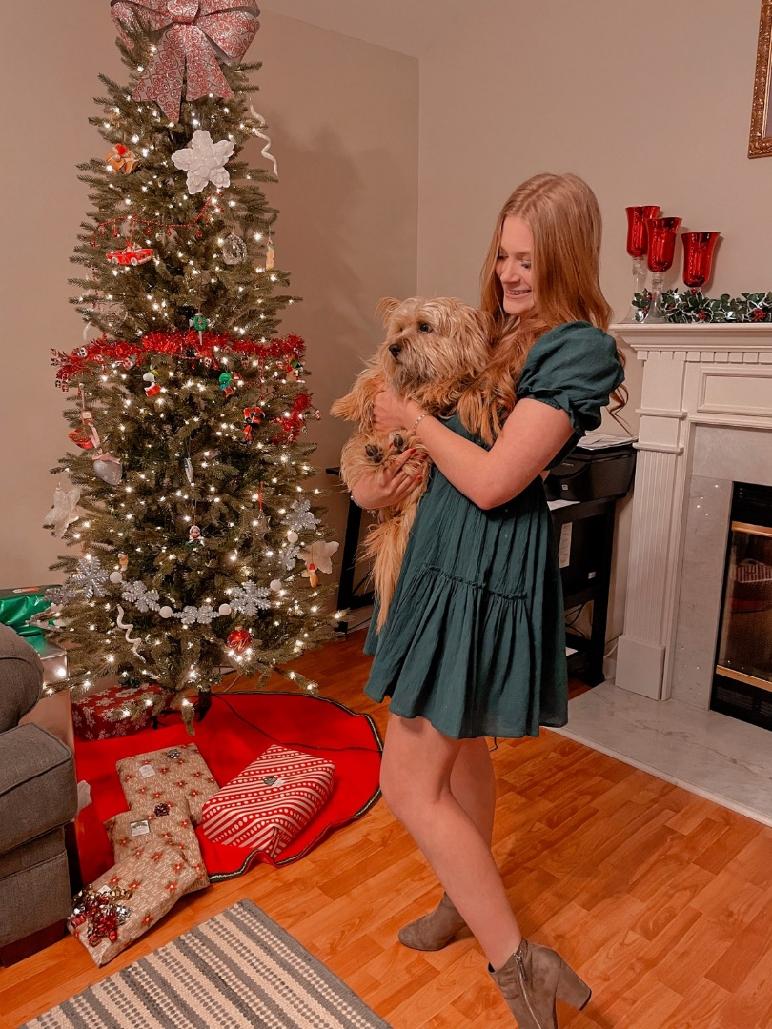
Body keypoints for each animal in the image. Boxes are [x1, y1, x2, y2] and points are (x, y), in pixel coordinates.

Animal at [332, 296, 504, 630]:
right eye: (399, 328)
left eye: (425, 327)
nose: (393, 347)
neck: (419, 378)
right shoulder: (383, 377)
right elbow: (370, 379)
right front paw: (345, 404)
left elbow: (448, 386)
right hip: (359, 449)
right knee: (366, 451)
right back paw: (380, 451)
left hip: (421, 460)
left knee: (412, 453)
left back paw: (395, 446)